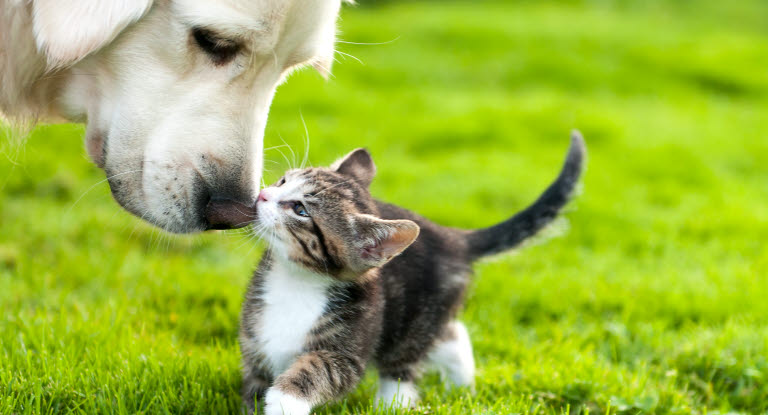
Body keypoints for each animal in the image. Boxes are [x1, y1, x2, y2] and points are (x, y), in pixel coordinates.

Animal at [237, 132, 584, 414]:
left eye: (301, 210)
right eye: (283, 181)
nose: (262, 194)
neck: (295, 281)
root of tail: (452, 238)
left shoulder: (348, 348)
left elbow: (322, 371)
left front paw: (284, 401)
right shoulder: (256, 341)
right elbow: (255, 385)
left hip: (415, 317)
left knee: (405, 360)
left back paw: (394, 404)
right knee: (451, 334)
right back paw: (462, 386)